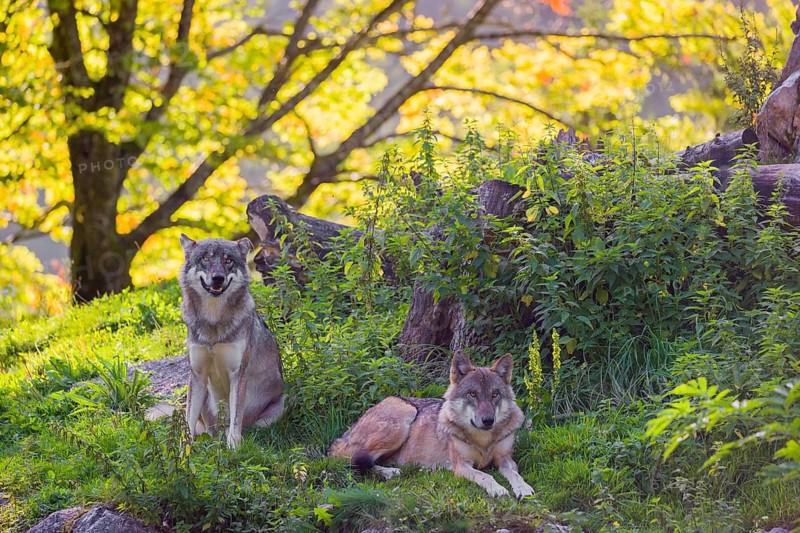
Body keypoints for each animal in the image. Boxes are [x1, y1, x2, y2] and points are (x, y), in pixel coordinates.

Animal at [179, 234, 286, 449]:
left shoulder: (238, 373)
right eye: (205, 258)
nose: (218, 278)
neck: (214, 321)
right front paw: (182, 452)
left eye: (228, 260)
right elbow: (188, 423)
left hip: (281, 403)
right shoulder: (197, 374)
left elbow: (236, 418)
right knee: (210, 431)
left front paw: (233, 447)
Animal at [329, 352, 534, 498]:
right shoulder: (461, 465)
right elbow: (486, 475)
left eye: (495, 395)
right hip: (404, 416)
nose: (488, 420)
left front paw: (523, 488)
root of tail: (343, 436)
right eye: (472, 394)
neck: (483, 440)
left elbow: (515, 475)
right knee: (351, 461)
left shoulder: (505, 459)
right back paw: (390, 472)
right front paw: (498, 489)